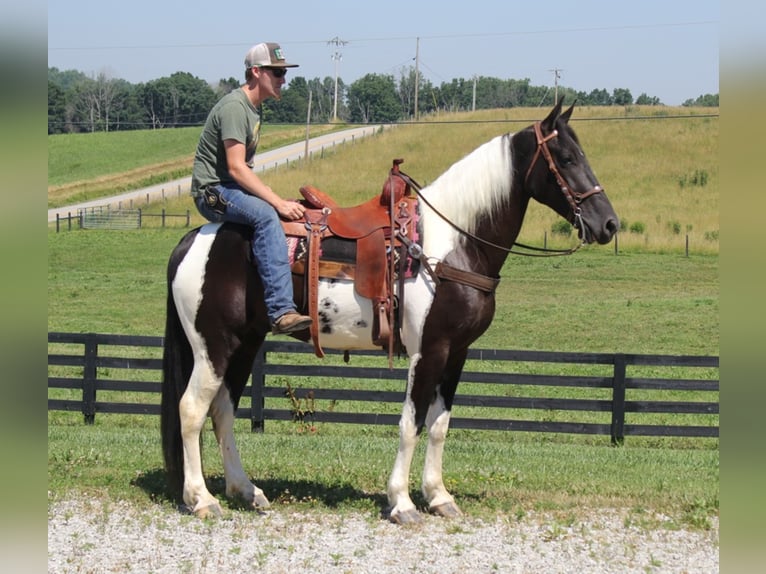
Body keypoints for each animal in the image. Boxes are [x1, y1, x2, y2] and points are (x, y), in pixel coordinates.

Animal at [162, 100, 624, 528]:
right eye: (567, 158)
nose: (609, 224)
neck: (451, 245)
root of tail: (193, 239)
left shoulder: (457, 353)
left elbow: (438, 425)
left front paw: (439, 497)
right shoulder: (429, 351)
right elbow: (410, 423)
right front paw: (401, 503)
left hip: (244, 343)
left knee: (222, 410)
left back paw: (245, 490)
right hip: (213, 346)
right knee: (191, 409)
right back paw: (202, 499)